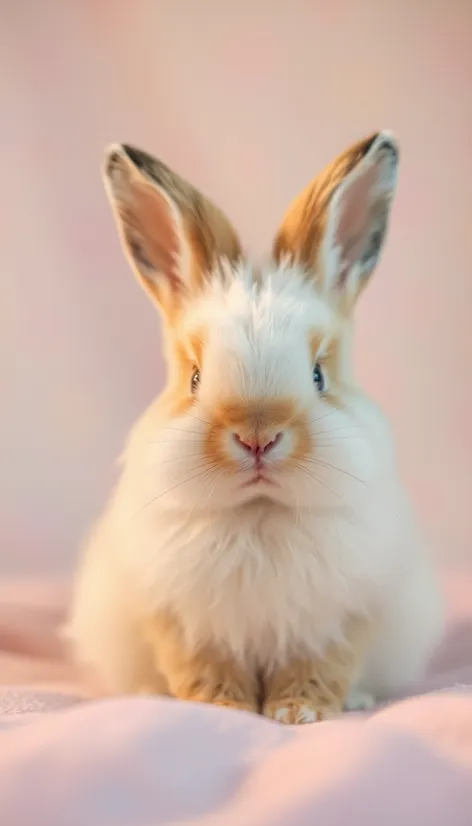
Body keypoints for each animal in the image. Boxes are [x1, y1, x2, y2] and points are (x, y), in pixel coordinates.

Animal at [66, 129, 442, 720]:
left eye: (317, 375)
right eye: (195, 378)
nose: (258, 438)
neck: (259, 513)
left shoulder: (343, 617)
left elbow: (319, 669)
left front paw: (300, 713)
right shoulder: (181, 621)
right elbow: (203, 669)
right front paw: (223, 709)